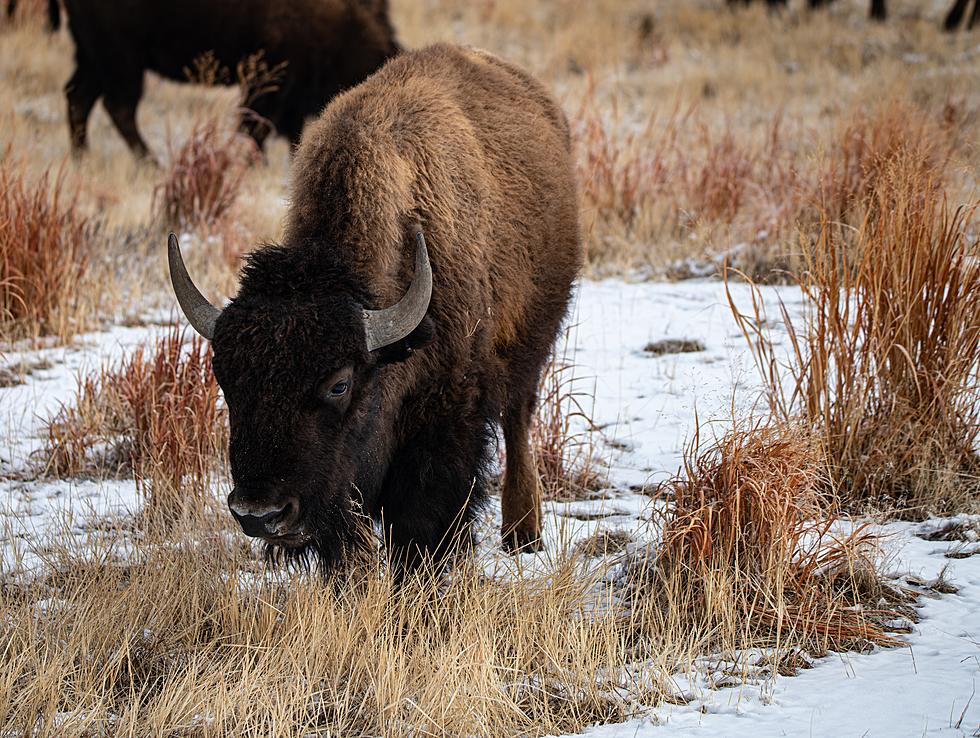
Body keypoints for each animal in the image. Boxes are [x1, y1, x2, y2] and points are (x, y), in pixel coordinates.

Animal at [63, 0, 398, 159]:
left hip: (95, 59)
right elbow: (255, 128)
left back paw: (83, 157)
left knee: (79, 98)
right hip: (121, 60)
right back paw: (149, 162)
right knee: (118, 107)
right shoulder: (267, 83)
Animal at [167, 43, 580, 572]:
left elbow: (422, 526)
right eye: (225, 378)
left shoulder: (445, 423)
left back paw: (523, 534)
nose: (260, 514)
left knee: (518, 417)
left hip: (532, 346)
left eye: (340, 384)